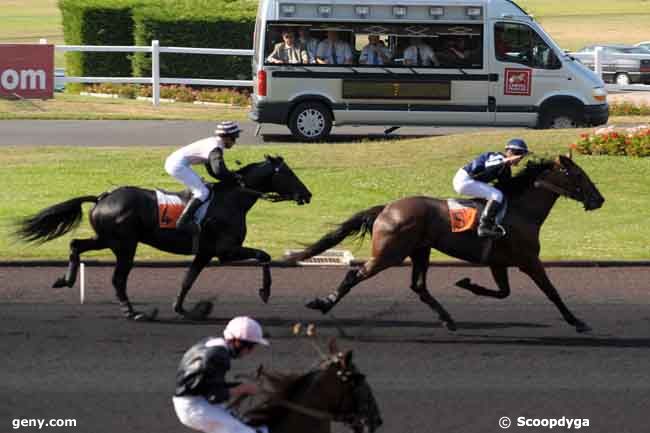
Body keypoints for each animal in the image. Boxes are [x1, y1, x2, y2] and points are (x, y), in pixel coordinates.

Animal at [17, 155, 312, 320]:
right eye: (288, 173)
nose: (307, 194)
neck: (233, 199)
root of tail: (103, 197)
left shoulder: (205, 252)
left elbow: (187, 280)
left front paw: (185, 309)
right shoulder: (226, 251)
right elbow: (264, 255)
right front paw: (265, 292)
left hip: (107, 239)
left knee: (76, 244)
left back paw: (65, 280)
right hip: (125, 245)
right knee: (118, 279)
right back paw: (133, 312)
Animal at [288, 154, 604, 330]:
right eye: (578, 174)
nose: (599, 199)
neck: (520, 210)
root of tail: (387, 208)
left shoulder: (498, 262)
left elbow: (503, 293)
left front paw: (467, 283)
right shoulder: (528, 260)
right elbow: (552, 292)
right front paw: (577, 322)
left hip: (420, 250)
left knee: (418, 286)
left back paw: (448, 319)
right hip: (391, 252)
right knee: (355, 274)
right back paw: (324, 303)